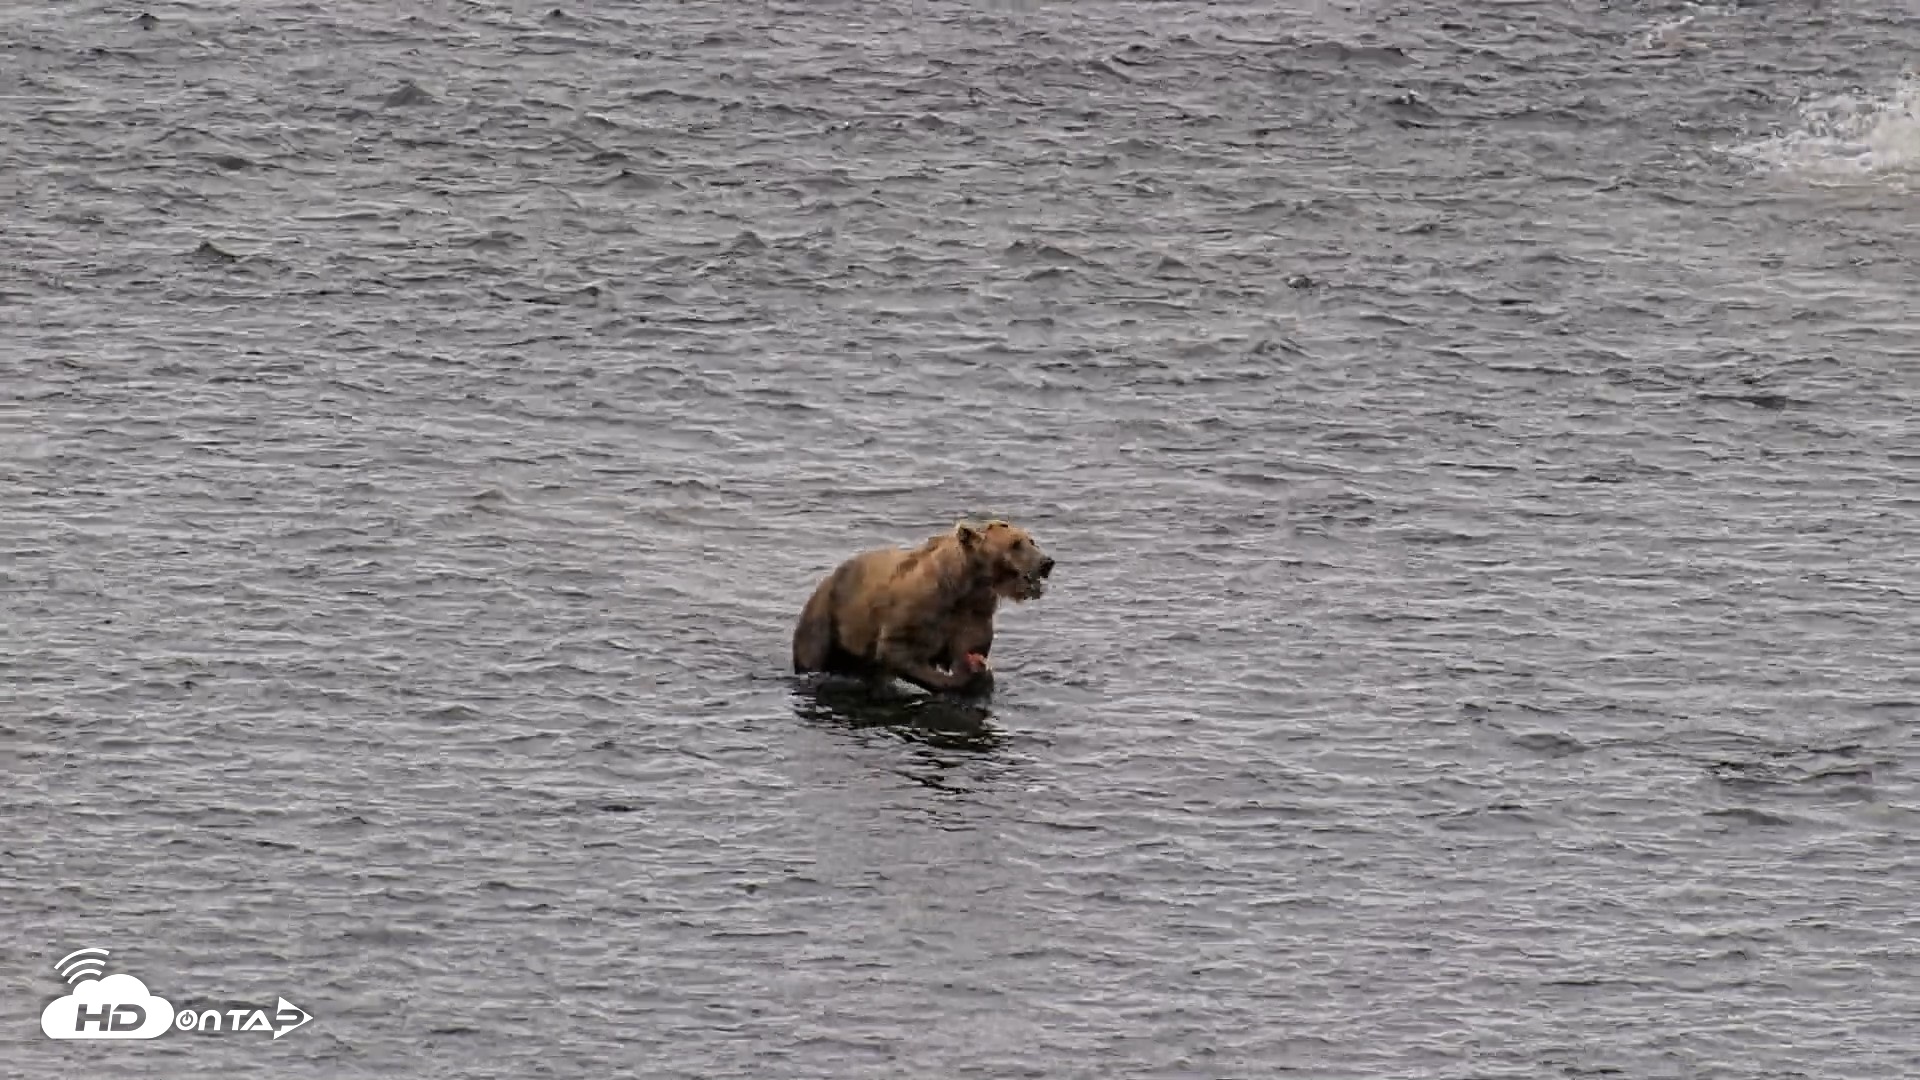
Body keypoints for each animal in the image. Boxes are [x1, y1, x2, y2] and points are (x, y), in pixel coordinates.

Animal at [791, 518, 1054, 695]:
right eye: (1016, 544)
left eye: (1031, 540)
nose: (1046, 562)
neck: (964, 585)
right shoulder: (915, 611)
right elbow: (899, 652)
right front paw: (966, 679)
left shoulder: (972, 613)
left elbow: (968, 646)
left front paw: (976, 670)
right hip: (826, 618)